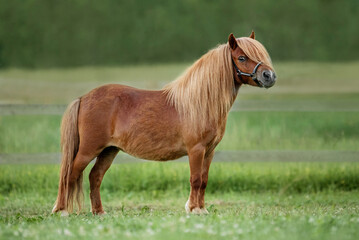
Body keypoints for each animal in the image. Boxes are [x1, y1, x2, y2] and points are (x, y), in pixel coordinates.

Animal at [52, 31, 278, 216]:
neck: (199, 102)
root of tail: (83, 98)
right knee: (70, 174)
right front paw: (194, 209)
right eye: (242, 57)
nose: (269, 76)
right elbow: (195, 179)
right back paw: (62, 211)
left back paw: (99, 212)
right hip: (88, 149)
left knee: (95, 176)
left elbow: (204, 180)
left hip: (109, 150)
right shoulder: (196, 150)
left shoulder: (209, 151)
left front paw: (202, 209)